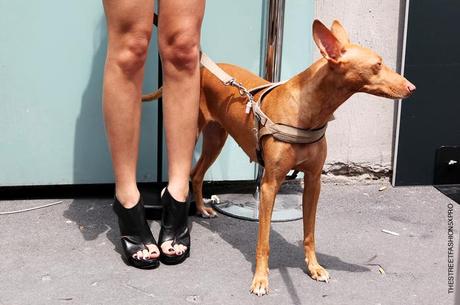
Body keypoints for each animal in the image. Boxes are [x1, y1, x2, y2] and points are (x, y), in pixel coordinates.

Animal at [142, 19, 416, 294]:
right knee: (190, 172)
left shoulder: (313, 181)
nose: (412, 88)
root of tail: (203, 68)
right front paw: (260, 279)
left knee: (197, 174)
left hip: (216, 138)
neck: (307, 111)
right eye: (378, 64)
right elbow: (263, 241)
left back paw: (201, 209)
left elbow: (310, 232)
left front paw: (314, 267)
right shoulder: (269, 185)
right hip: (194, 131)